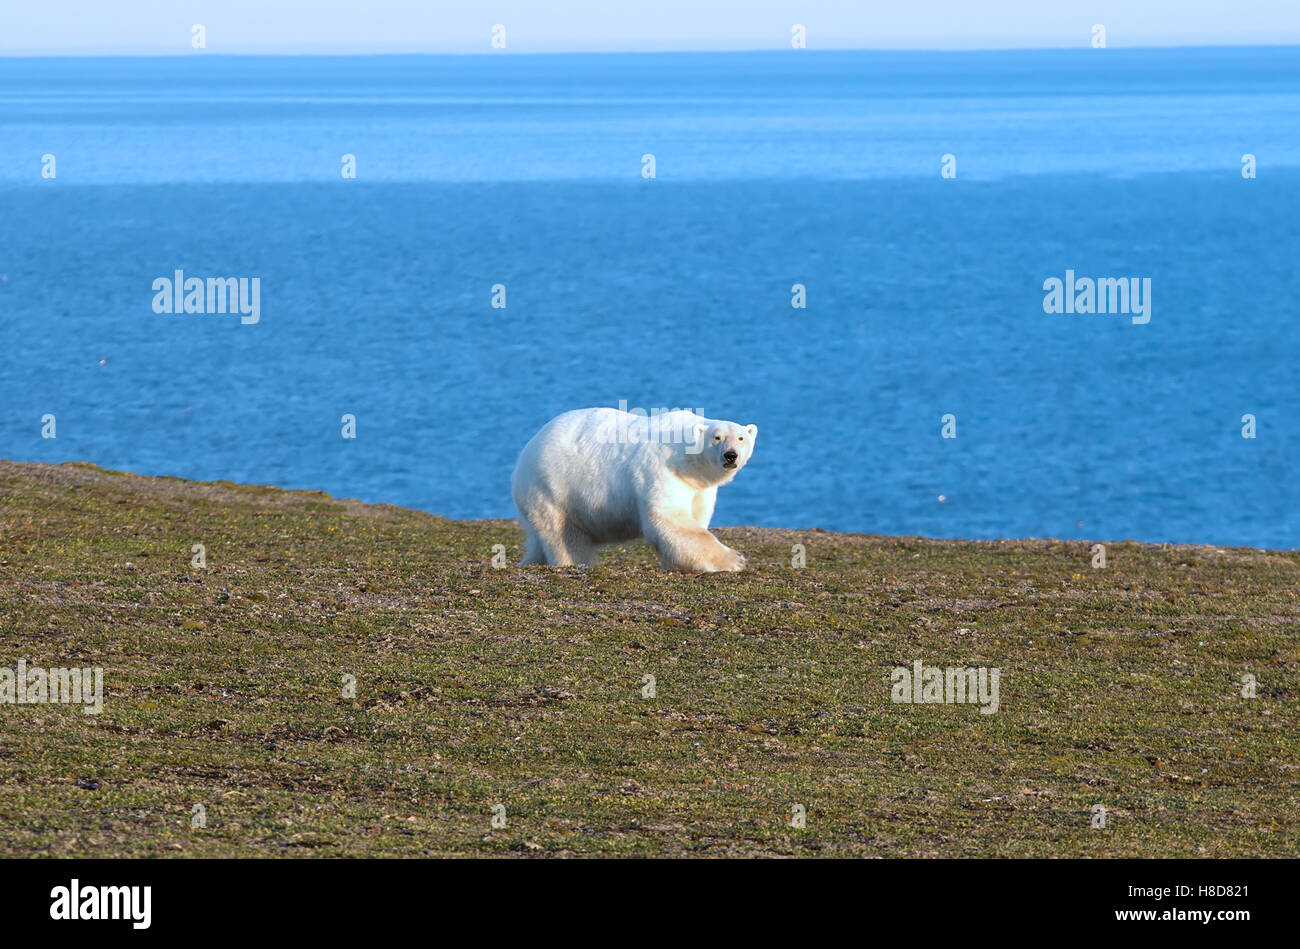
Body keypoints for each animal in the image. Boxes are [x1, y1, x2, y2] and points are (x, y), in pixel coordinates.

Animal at [511, 407, 758, 571]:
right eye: (717, 437)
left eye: (741, 437)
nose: (730, 455)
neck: (687, 458)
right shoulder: (662, 469)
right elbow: (670, 519)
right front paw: (735, 560)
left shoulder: (698, 486)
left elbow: (696, 515)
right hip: (553, 489)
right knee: (564, 537)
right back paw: (573, 562)